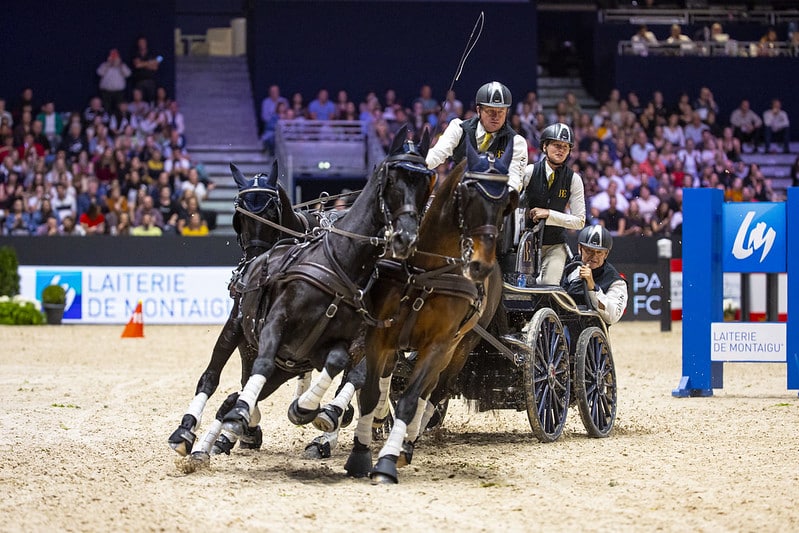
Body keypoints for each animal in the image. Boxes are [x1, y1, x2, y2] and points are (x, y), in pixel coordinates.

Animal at [169, 160, 312, 456]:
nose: (253, 265)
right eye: (241, 216)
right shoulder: (237, 321)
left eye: (270, 212)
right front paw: (186, 428)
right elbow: (212, 376)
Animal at [342, 138, 520, 482]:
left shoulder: (438, 344)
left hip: (459, 347)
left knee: (433, 391)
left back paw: (406, 445)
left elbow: (412, 399)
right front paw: (358, 451)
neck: (424, 269)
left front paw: (387, 461)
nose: (479, 264)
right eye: (468, 194)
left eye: (506, 202)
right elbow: (367, 386)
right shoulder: (377, 334)